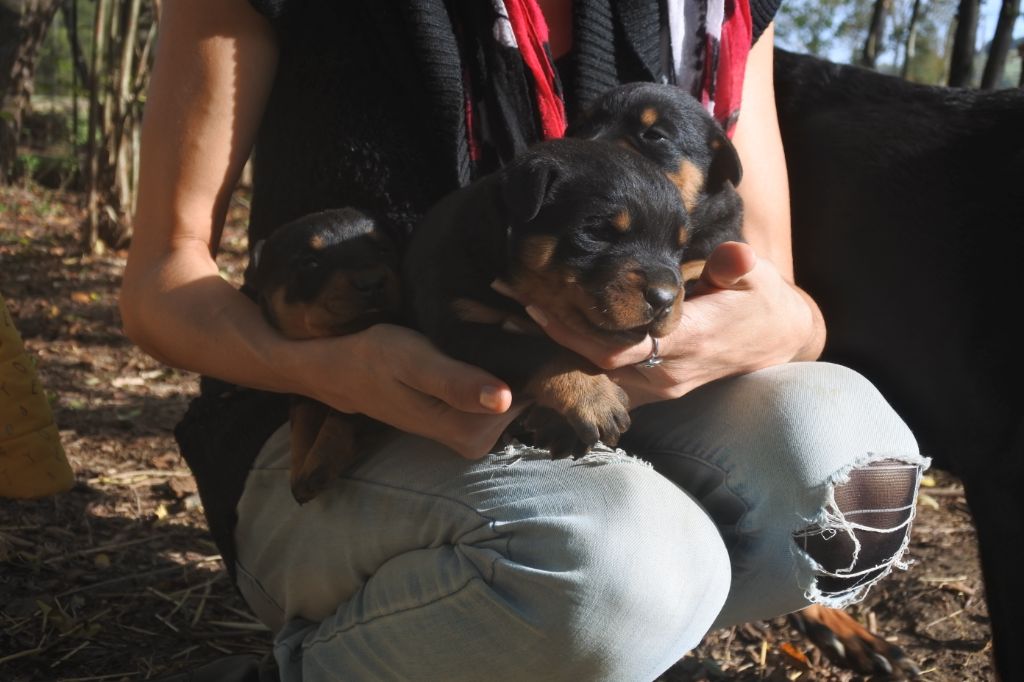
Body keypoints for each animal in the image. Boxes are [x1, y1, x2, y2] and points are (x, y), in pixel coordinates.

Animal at [249, 205, 401, 499]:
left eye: (384, 249)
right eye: (310, 263)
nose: (372, 282)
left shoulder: (370, 394)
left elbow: (343, 417)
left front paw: (317, 465)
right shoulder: (306, 381)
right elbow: (301, 418)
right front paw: (300, 466)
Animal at [405, 137, 688, 456]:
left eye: (679, 248)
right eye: (597, 232)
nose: (665, 299)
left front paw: (559, 426)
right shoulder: (460, 323)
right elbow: (540, 351)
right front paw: (593, 395)